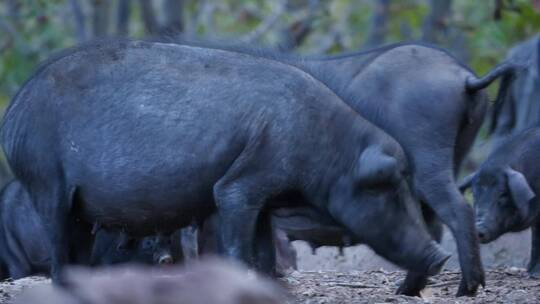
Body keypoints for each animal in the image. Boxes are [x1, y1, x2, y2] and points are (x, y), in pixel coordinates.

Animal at [3, 40, 448, 284]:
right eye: (386, 185)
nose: (440, 257)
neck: (324, 148)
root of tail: (12, 116)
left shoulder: (266, 199)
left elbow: (266, 254)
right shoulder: (239, 186)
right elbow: (237, 245)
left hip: (76, 205)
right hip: (46, 182)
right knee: (59, 252)